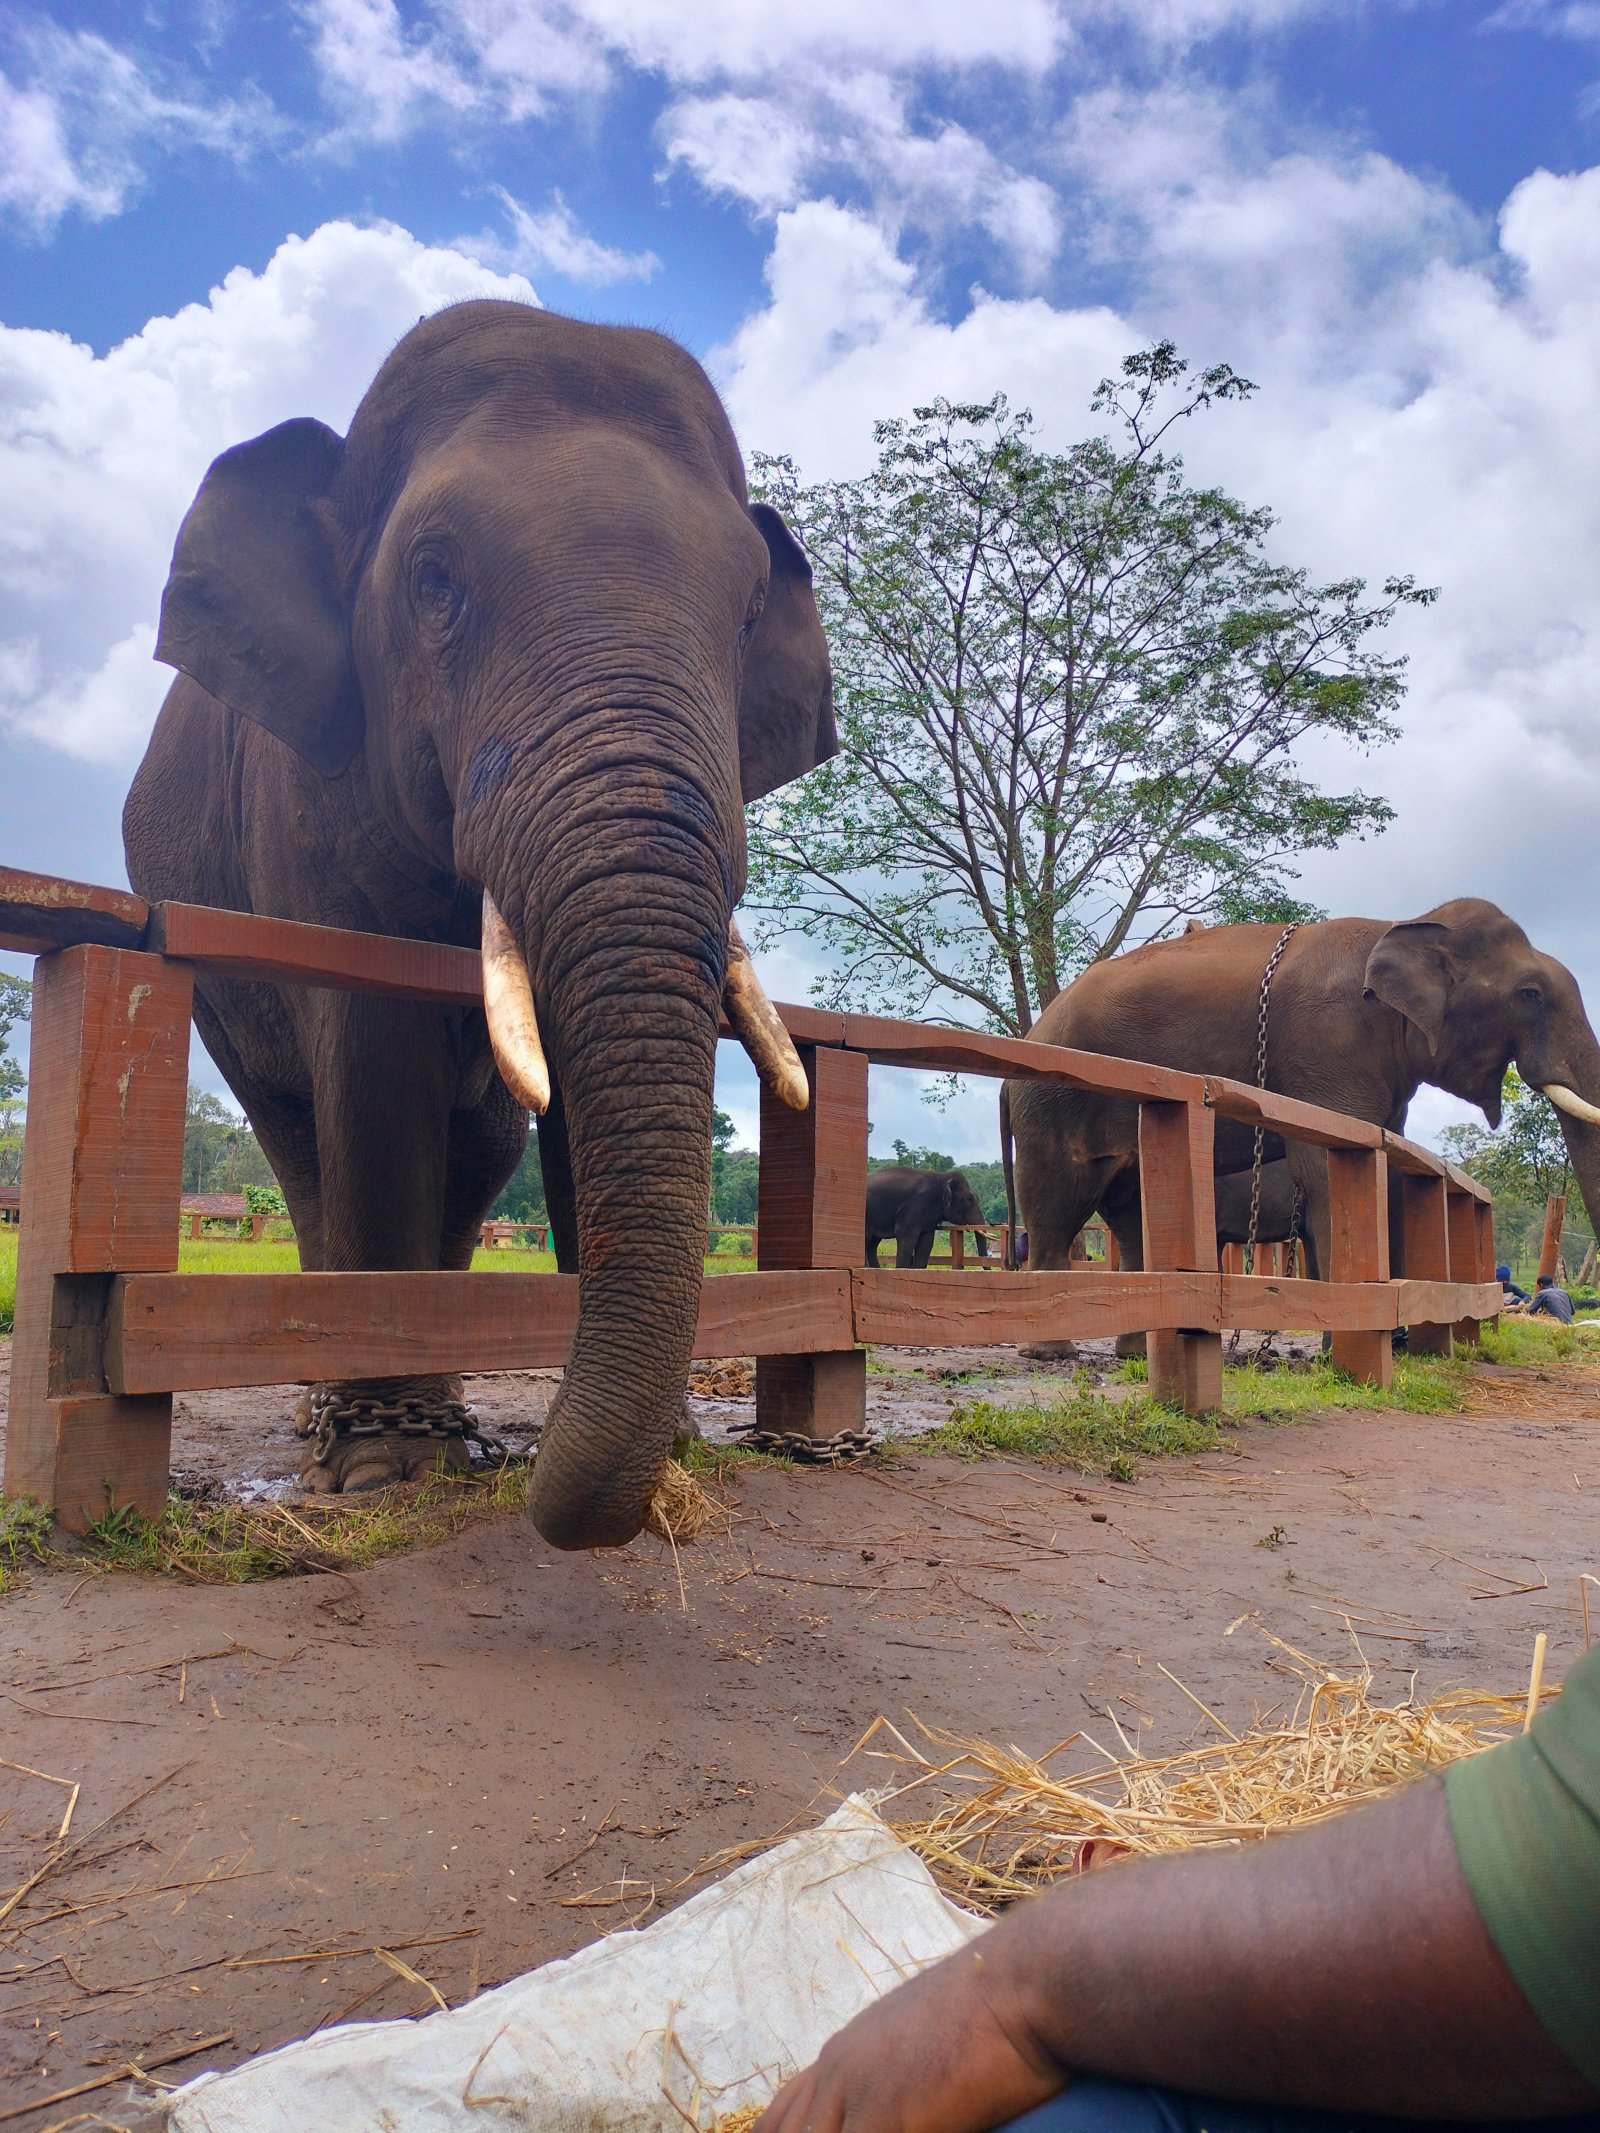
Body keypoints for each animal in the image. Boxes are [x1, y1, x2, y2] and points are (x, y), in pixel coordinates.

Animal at [122, 300, 836, 1548]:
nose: (542, 1475)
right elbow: (375, 1059)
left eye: (751, 612)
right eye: (433, 578)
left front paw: (663, 1451)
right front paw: (386, 1472)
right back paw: (333, 1423)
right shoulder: (305, 799)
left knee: (480, 1149)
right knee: (303, 1140)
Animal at [1006, 901, 1600, 1301]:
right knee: (1057, 1205)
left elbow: (1383, 1158)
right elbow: (1331, 1163)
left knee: (1131, 1217)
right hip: (1051, 1104)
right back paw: (1051, 1350)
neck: (1401, 922)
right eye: (1529, 995)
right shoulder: (1328, 1045)